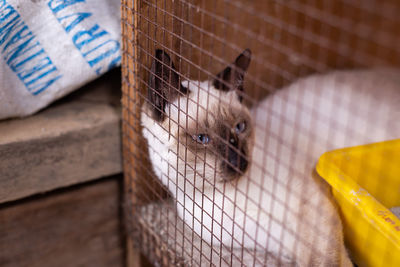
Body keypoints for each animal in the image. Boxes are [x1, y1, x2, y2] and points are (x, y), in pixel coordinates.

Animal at [141, 49, 400, 266]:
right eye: (202, 138)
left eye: (240, 127)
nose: (239, 162)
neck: (221, 200)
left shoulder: (312, 212)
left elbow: (326, 259)